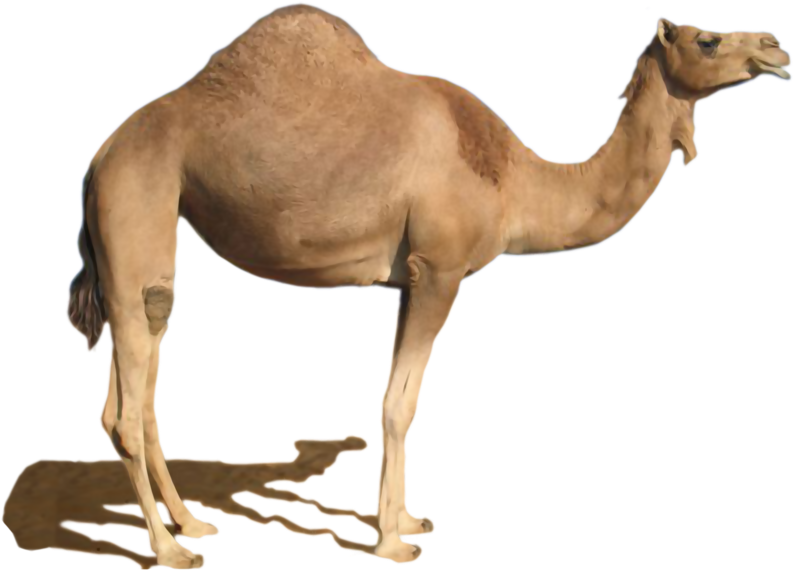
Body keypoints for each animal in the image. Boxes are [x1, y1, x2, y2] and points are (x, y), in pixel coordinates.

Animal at [65, 4, 791, 569]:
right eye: (707, 39)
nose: (776, 48)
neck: (518, 181)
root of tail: (97, 160)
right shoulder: (439, 271)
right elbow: (399, 404)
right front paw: (392, 542)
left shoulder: (410, 279)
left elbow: (402, 399)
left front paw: (408, 520)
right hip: (139, 209)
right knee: (128, 407)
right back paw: (171, 551)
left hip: (139, 249)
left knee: (132, 392)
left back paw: (192, 524)